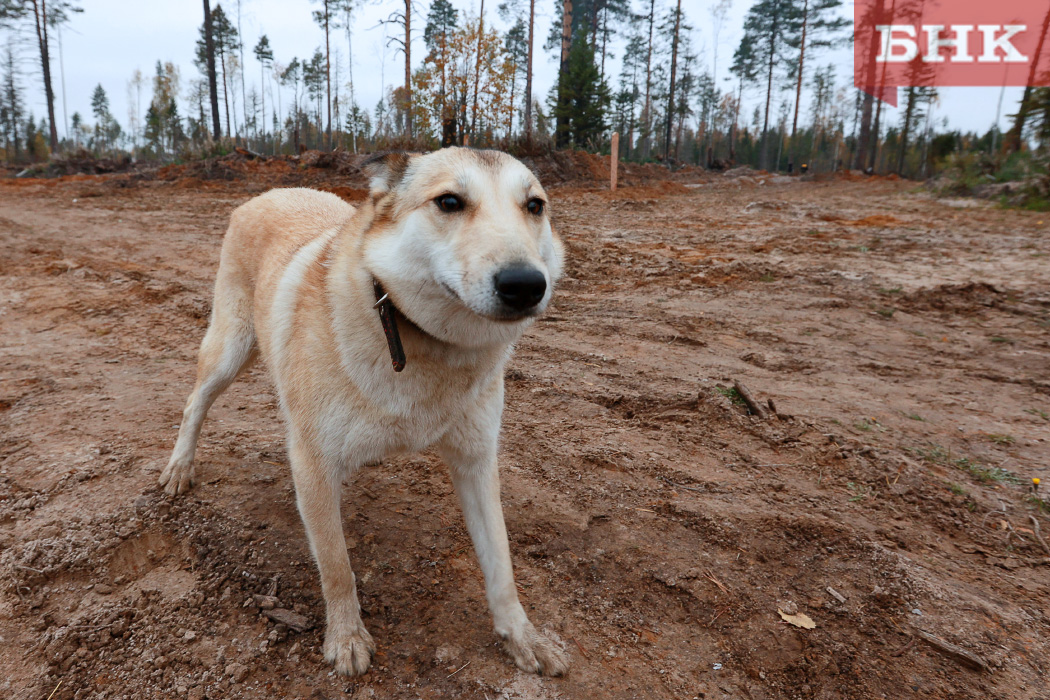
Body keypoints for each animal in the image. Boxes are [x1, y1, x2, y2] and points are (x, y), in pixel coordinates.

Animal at [157, 149, 567, 680]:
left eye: (534, 206)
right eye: (449, 202)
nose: (526, 285)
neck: (415, 338)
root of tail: (269, 193)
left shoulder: (476, 462)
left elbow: (501, 564)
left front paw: (522, 635)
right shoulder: (313, 465)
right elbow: (336, 566)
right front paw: (346, 636)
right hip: (229, 352)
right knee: (194, 403)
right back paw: (180, 467)